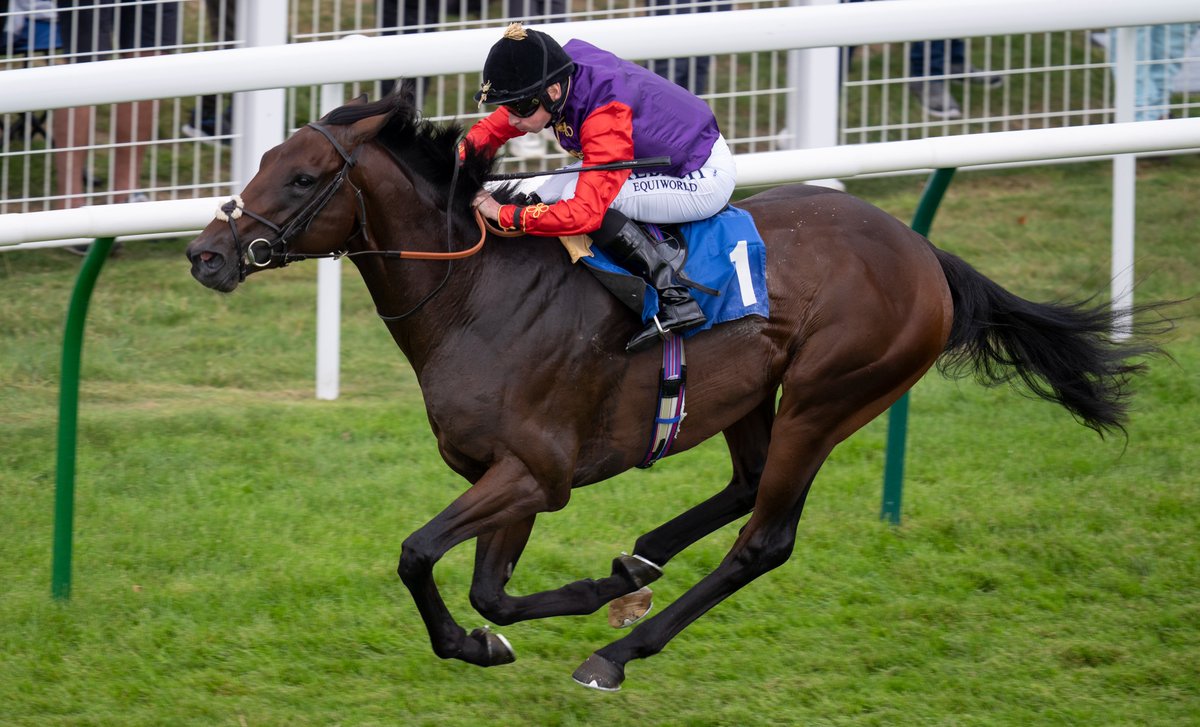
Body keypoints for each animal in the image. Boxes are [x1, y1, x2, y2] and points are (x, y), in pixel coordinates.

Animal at [184, 88, 1161, 691]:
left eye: (303, 177)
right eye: (261, 158)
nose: (205, 255)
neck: (476, 296)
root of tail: (923, 253)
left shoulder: (535, 471)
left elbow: (419, 553)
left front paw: (517, 625)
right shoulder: (508, 476)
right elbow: (490, 590)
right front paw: (540, 610)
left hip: (829, 396)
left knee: (765, 537)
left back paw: (619, 650)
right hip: (751, 395)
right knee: (741, 485)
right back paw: (641, 560)